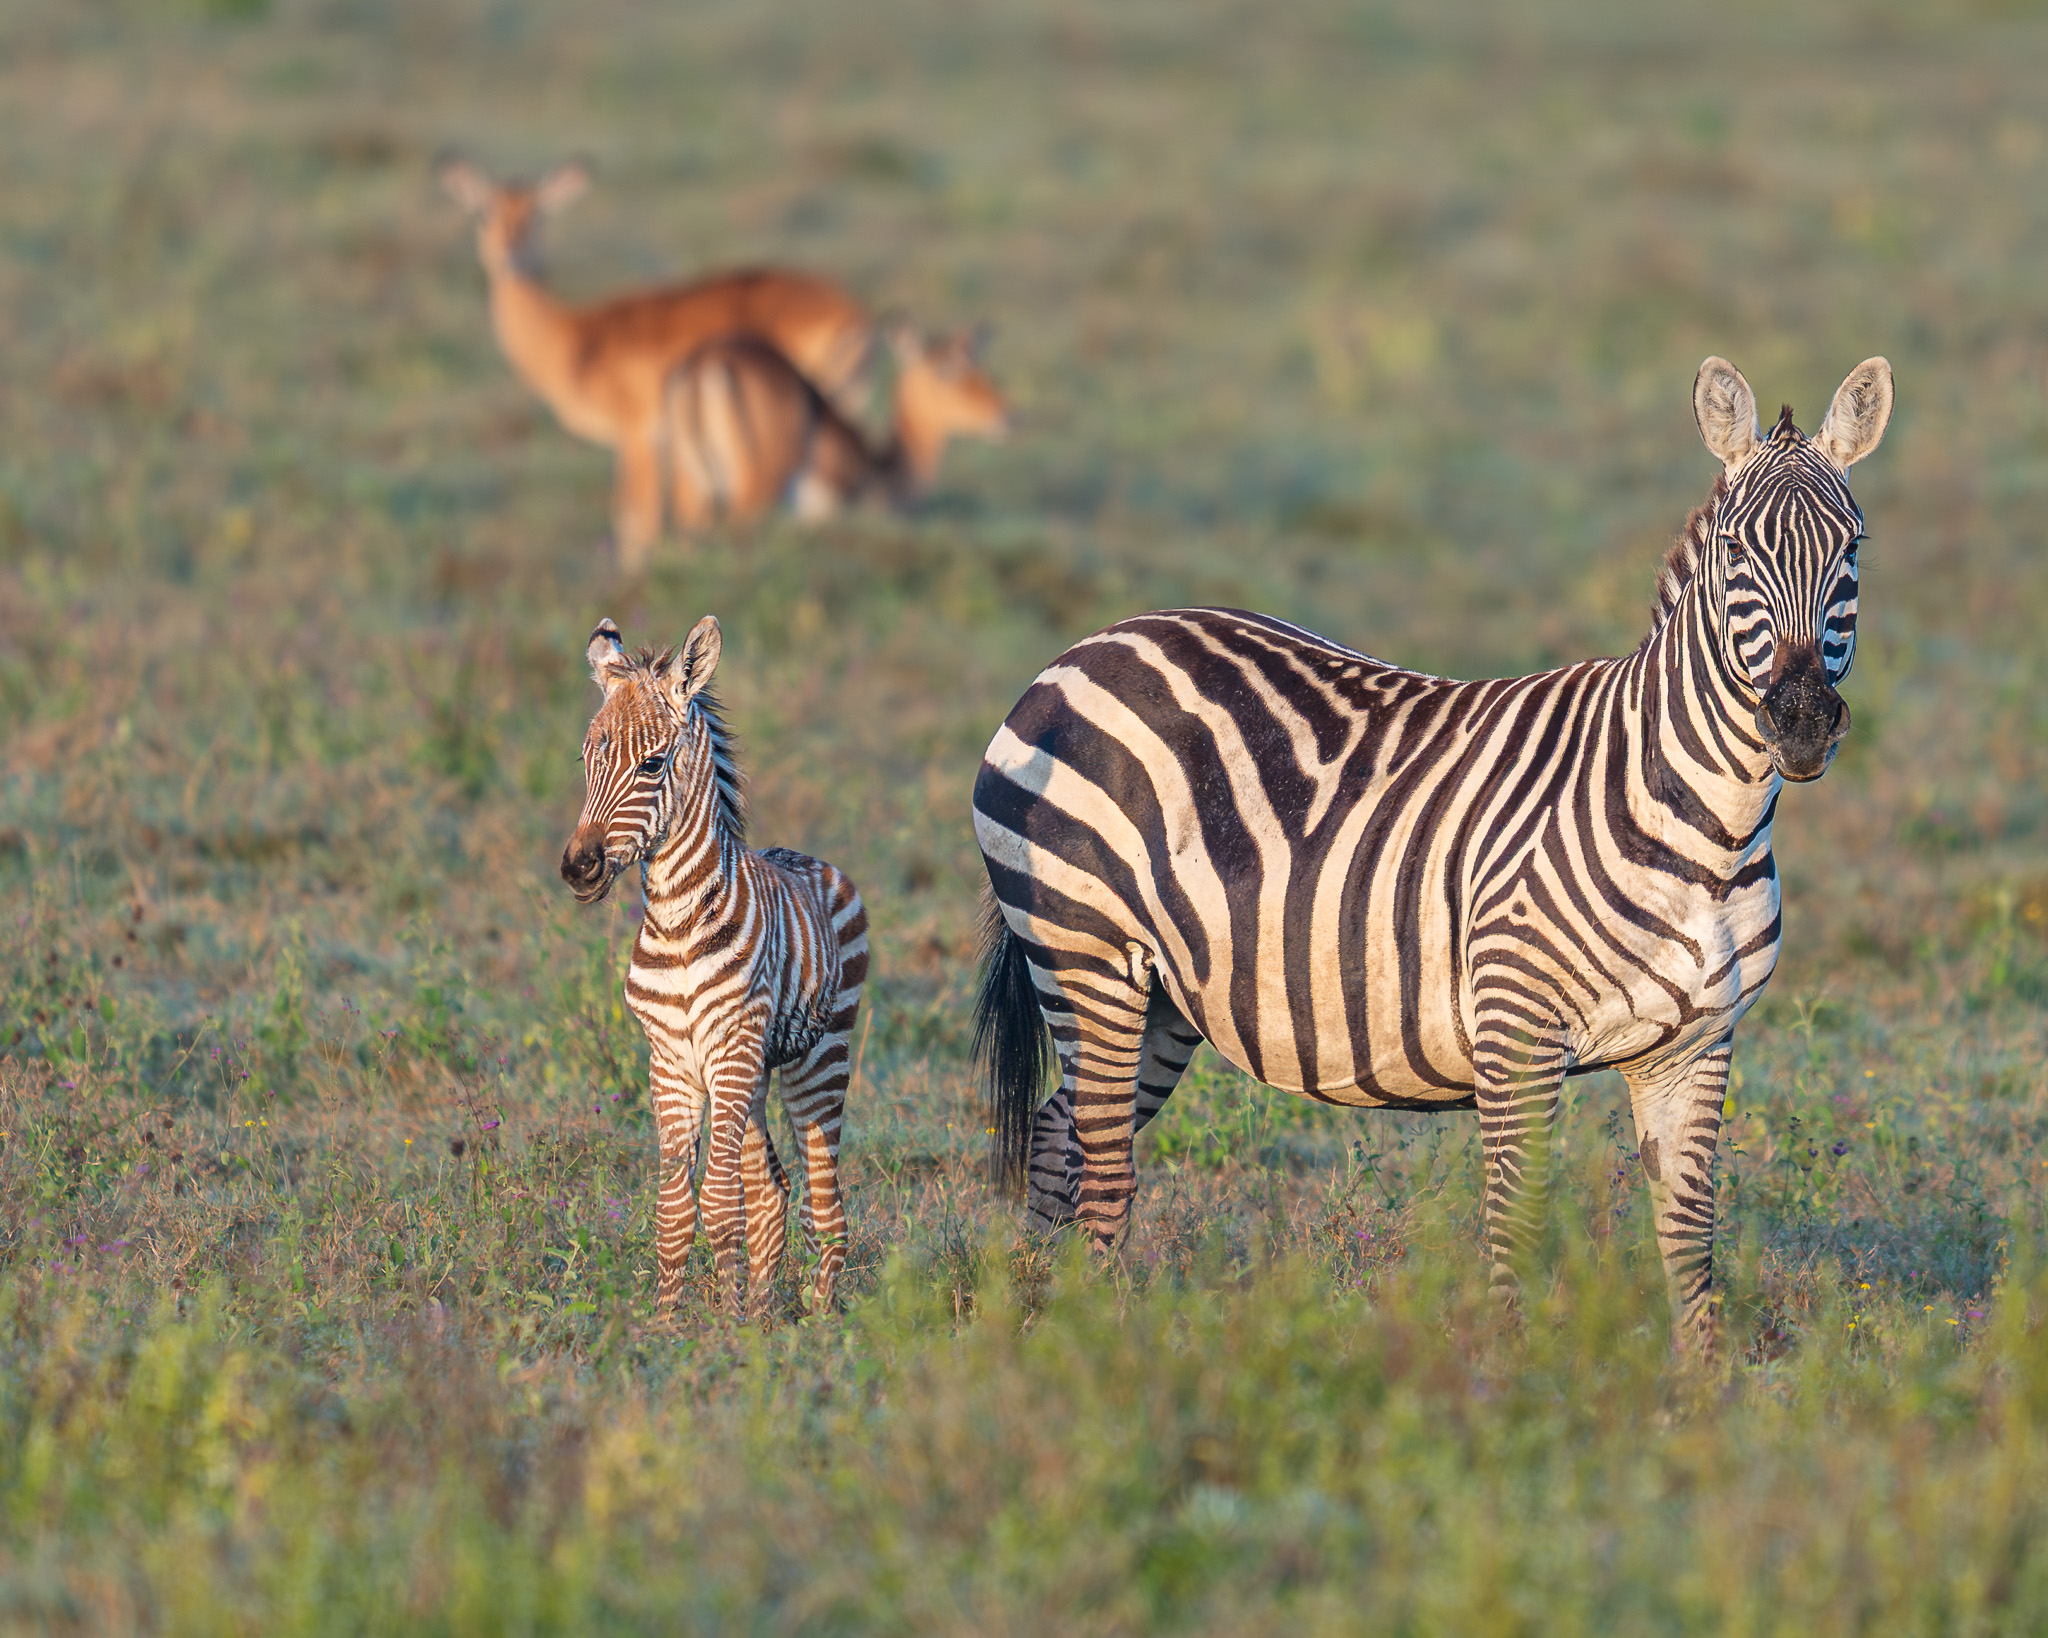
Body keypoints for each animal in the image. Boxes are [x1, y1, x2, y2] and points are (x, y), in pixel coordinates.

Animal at [437, 156, 874, 569]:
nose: (509, 255)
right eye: (484, 213)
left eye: (537, 215)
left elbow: (636, 522)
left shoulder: (637, 436)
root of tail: (853, 312)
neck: (575, 339)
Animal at [560, 616, 868, 1317]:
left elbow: (720, 1205)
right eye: (587, 760)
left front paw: (722, 1330)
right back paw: (762, 1310)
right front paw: (673, 1323)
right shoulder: (670, 1061)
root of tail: (811, 859)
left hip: (816, 1061)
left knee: (825, 1202)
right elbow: (677, 1208)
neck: (676, 924)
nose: (578, 869)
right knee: (773, 1188)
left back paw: (818, 1316)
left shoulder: (729, 1049)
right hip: (754, 1073)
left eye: (651, 764)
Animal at [664, 325, 1010, 528]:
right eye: (945, 369)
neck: (882, 470)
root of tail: (706, 361)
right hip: (755, 491)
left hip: (694, 491)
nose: (1007, 414)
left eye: (979, 366)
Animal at [972, 356, 1892, 1349]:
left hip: (1162, 997)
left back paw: (1031, 1329)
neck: (1709, 830)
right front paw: (1512, 1378)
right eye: (1734, 553)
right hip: (1086, 956)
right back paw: (1095, 1351)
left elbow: (1690, 1240)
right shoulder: (1516, 1026)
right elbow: (1517, 1222)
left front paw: (1701, 1389)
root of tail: (1089, 647)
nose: (1800, 722)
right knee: (1102, 1176)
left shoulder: (1695, 1044)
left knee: (1059, 1141)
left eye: (1851, 552)